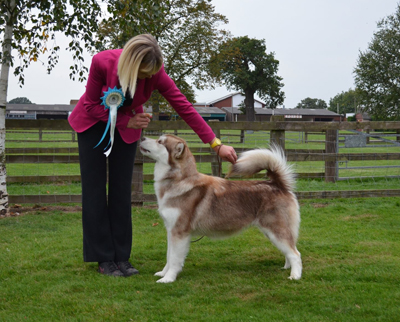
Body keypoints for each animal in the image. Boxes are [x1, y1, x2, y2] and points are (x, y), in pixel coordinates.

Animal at [139, 135, 302, 284]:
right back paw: (287, 267)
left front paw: (168, 278)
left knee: (295, 253)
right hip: (271, 232)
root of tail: (277, 184)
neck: (179, 180)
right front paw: (163, 273)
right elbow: (168, 255)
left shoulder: (179, 232)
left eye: (160, 141)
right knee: (290, 250)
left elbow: (174, 259)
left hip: (276, 230)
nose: (142, 137)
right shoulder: (171, 230)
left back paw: (295, 275)